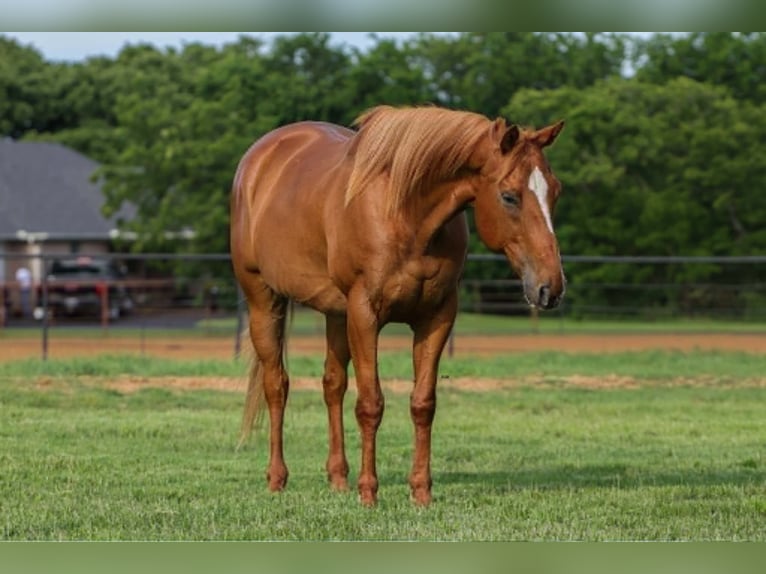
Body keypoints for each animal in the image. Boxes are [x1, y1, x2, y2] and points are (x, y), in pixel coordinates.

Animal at [230, 105, 565, 506]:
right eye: (509, 196)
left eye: (555, 192)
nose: (551, 287)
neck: (406, 214)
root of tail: (258, 159)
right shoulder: (365, 314)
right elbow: (370, 404)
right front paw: (369, 493)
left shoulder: (436, 317)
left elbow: (422, 403)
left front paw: (421, 492)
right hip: (264, 300)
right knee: (276, 385)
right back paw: (277, 478)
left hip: (335, 313)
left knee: (332, 385)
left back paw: (338, 478)